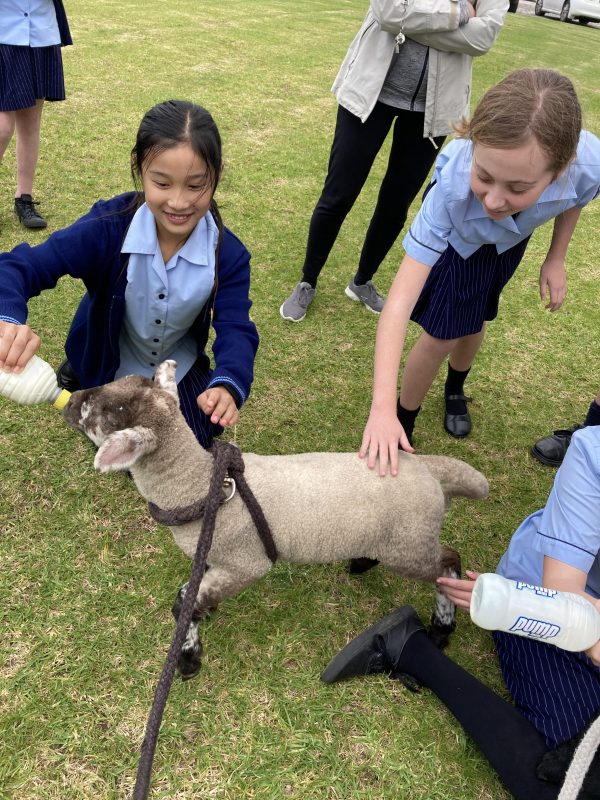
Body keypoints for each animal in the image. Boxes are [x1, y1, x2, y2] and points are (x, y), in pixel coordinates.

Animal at [63, 360, 489, 679]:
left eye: (94, 411)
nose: (69, 400)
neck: (198, 487)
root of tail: (427, 469)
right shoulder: (214, 559)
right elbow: (190, 595)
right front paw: (201, 622)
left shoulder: (246, 564)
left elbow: (185, 603)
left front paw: (187, 659)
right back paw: (363, 562)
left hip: (409, 544)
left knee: (448, 563)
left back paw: (441, 627)